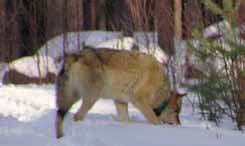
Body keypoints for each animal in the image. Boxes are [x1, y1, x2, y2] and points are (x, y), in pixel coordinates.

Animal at [55, 48, 186, 138]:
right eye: (176, 112)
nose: (179, 125)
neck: (160, 90)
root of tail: (75, 56)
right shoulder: (139, 101)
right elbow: (156, 121)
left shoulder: (120, 102)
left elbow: (126, 120)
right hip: (91, 98)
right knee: (76, 116)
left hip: (71, 98)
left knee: (59, 115)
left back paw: (60, 138)